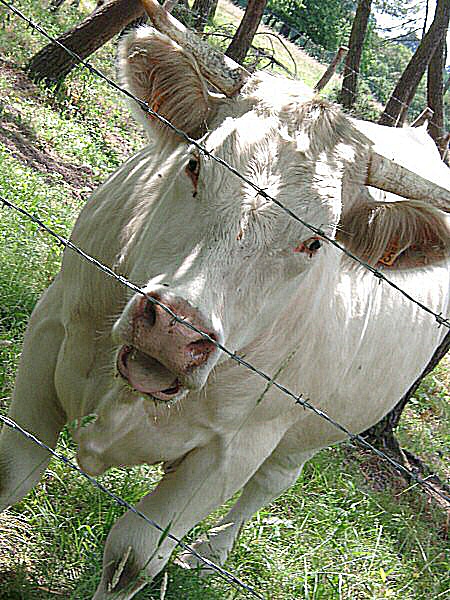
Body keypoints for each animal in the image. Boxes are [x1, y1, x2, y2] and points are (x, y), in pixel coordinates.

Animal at [0, 2, 450, 596]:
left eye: (317, 241)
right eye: (196, 163)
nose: (175, 332)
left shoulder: (233, 451)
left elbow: (134, 557)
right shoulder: (50, 328)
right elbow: (13, 469)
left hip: (319, 430)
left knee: (273, 482)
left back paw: (210, 550)